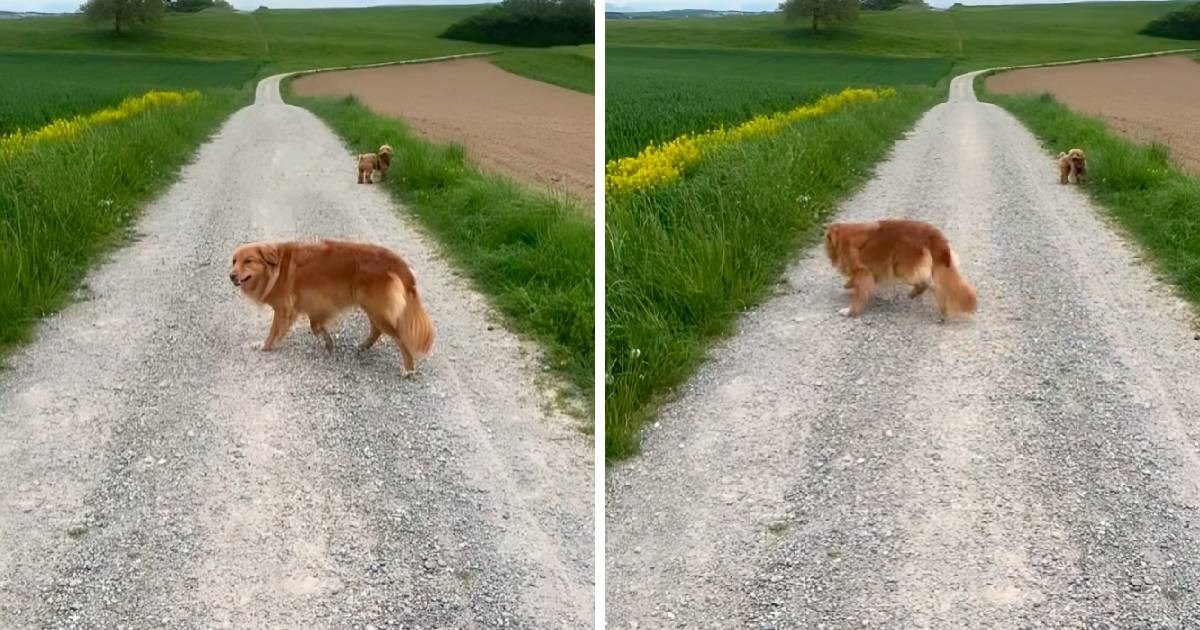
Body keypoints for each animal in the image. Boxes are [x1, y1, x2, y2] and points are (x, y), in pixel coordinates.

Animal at [226, 238, 434, 376]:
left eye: (248, 261)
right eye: (234, 261)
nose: (231, 275)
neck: (276, 268)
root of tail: (399, 263)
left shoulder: (285, 309)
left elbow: (274, 332)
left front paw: (264, 346)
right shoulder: (317, 304)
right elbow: (316, 326)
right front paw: (328, 342)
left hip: (377, 309)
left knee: (400, 338)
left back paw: (408, 369)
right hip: (371, 307)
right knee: (376, 329)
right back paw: (364, 346)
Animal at [825, 219, 974, 319]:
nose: (829, 257)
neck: (844, 237)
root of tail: (931, 233)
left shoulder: (863, 272)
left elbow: (860, 293)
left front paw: (850, 311)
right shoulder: (872, 272)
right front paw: (847, 286)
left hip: (904, 267)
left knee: (930, 285)